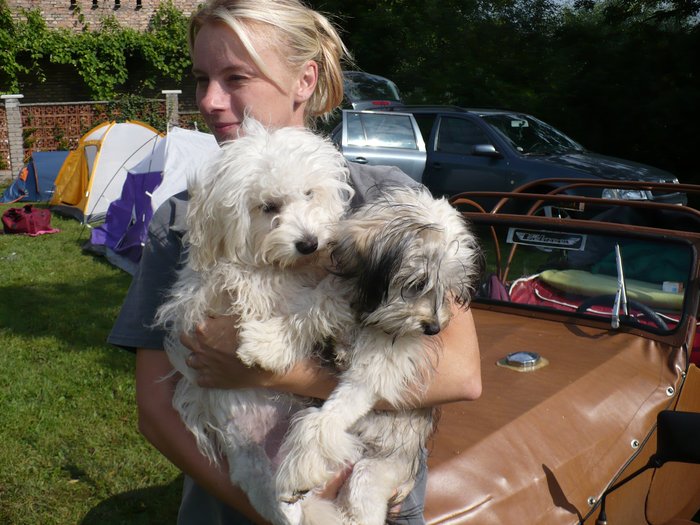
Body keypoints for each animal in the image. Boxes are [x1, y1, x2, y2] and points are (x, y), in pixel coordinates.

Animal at [154, 118, 355, 525]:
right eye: (268, 207)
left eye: (309, 193)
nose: (309, 243)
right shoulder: (253, 292)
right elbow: (314, 303)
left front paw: (341, 345)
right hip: (254, 466)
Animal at [275, 185, 481, 525]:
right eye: (417, 283)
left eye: (448, 289)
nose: (434, 328)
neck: (368, 311)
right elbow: (312, 311)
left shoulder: (370, 375)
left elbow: (322, 420)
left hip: (373, 472)